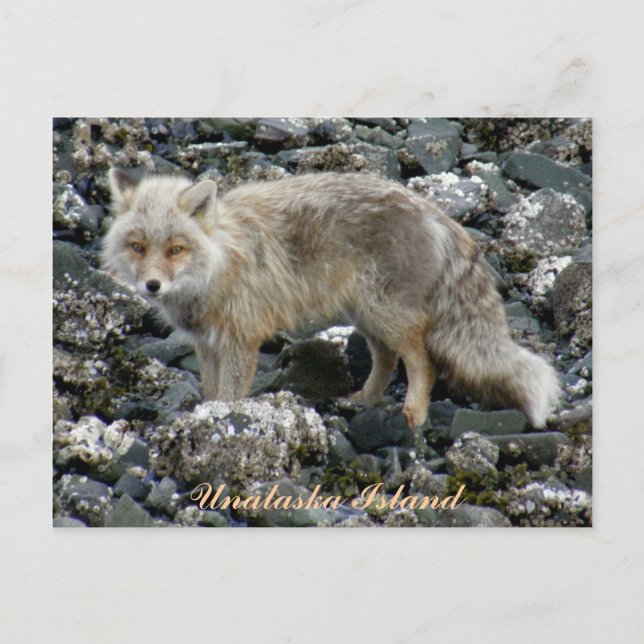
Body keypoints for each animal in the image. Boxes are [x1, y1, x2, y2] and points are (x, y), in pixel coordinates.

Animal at [102, 168, 561, 429]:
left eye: (176, 249)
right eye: (138, 247)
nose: (152, 286)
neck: (217, 264)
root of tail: (432, 209)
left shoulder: (240, 338)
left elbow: (229, 394)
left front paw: (218, 423)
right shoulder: (207, 342)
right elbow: (211, 391)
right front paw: (205, 415)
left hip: (387, 313)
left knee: (421, 361)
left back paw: (414, 414)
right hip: (366, 315)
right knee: (386, 359)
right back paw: (366, 399)